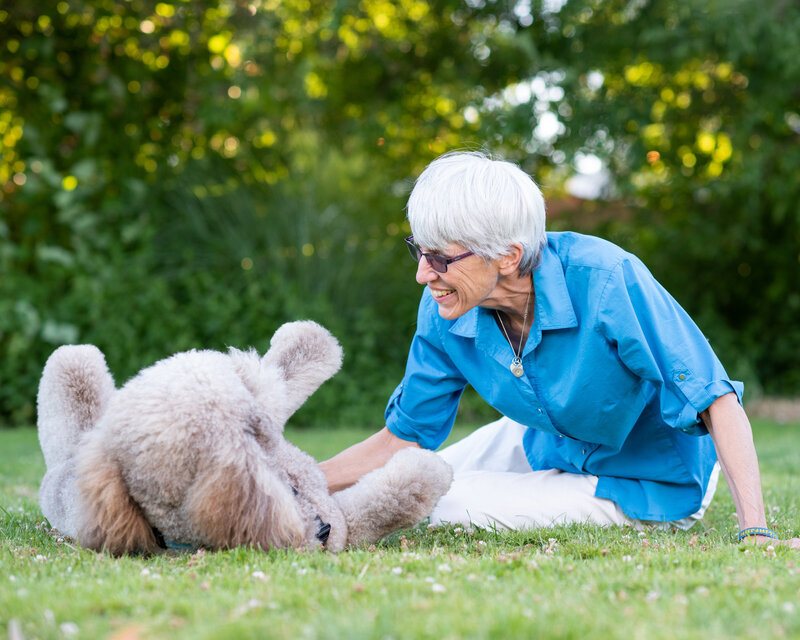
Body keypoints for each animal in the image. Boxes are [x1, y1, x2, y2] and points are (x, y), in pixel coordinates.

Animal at [37, 322, 454, 552]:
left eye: (254, 427)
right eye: (202, 465)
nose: (320, 530)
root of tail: (71, 458)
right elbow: (383, 503)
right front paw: (428, 470)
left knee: (73, 361)